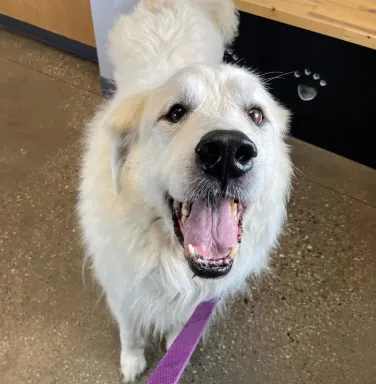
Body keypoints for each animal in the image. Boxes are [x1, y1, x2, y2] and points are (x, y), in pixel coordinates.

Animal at [78, 1, 292, 382]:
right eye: (176, 112)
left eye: (255, 115)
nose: (227, 152)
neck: (168, 260)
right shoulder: (121, 288)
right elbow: (129, 330)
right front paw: (132, 362)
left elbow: (179, 330)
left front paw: (173, 347)